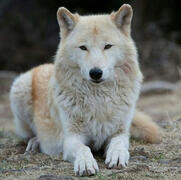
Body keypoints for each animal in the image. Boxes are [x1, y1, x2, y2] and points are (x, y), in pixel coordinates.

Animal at [9, 3, 160, 176]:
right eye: (83, 47)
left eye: (107, 46)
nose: (95, 72)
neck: (98, 99)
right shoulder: (72, 138)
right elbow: (83, 149)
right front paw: (85, 164)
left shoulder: (119, 133)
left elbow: (119, 144)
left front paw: (117, 156)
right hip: (20, 88)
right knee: (28, 134)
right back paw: (35, 143)